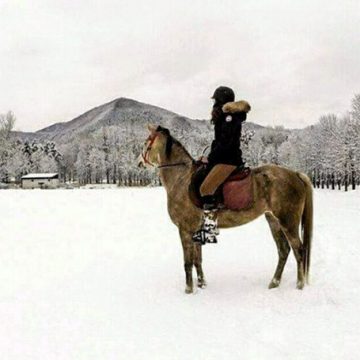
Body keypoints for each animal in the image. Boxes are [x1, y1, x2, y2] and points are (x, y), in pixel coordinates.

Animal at [139, 125, 314, 294]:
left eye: (147, 142)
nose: (139, 162)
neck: (181, 179)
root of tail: (295, 174)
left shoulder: (185, 230)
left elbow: (187, 262)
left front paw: (188, 290)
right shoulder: (196, 230)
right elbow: (197, 260)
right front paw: (201, 284)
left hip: (288, 222)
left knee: (299, 250)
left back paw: (299, 286)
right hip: (273, 220)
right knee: (284, 250)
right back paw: (274, 283)